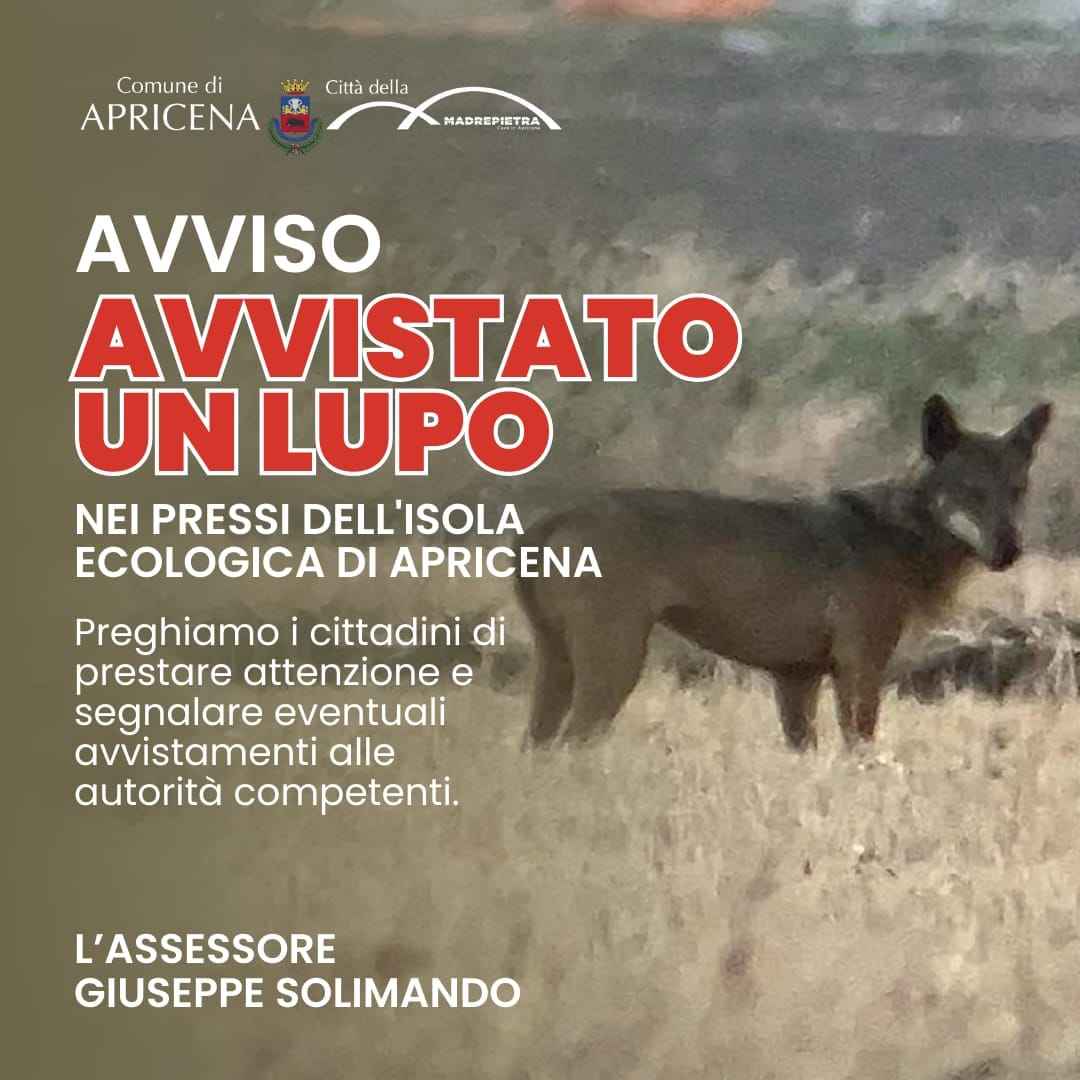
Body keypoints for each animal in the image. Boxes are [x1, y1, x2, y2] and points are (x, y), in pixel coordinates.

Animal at [515, 396, 1052, 750]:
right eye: (969, 491)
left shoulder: (797, 680)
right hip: (617, 667)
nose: (1010, 550)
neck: (899, 531)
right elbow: (860, 750)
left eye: (1017, 490)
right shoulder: (859, 669)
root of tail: (555, 516)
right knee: (571, 745)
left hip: (558, 671)